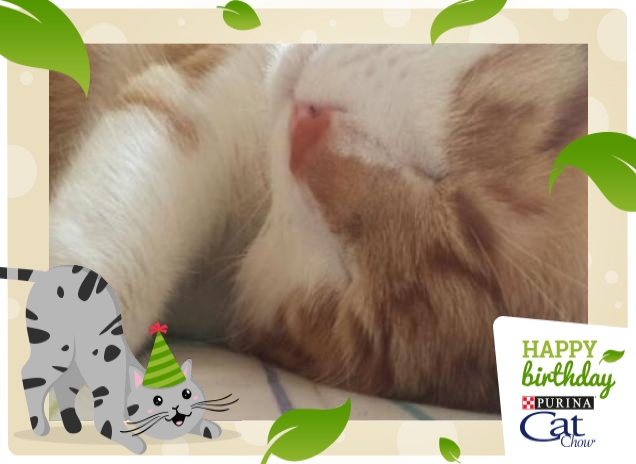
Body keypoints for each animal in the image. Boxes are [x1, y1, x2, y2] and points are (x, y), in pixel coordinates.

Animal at [1, 265, 232, 453]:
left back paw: (71, 425)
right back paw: (39, 425)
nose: (177, 409)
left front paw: (208, 427)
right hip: (56, 349)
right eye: (157, 400)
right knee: (30, 375)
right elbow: (113, 428)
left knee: (63, 385)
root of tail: (49, 273)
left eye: (187, 394)